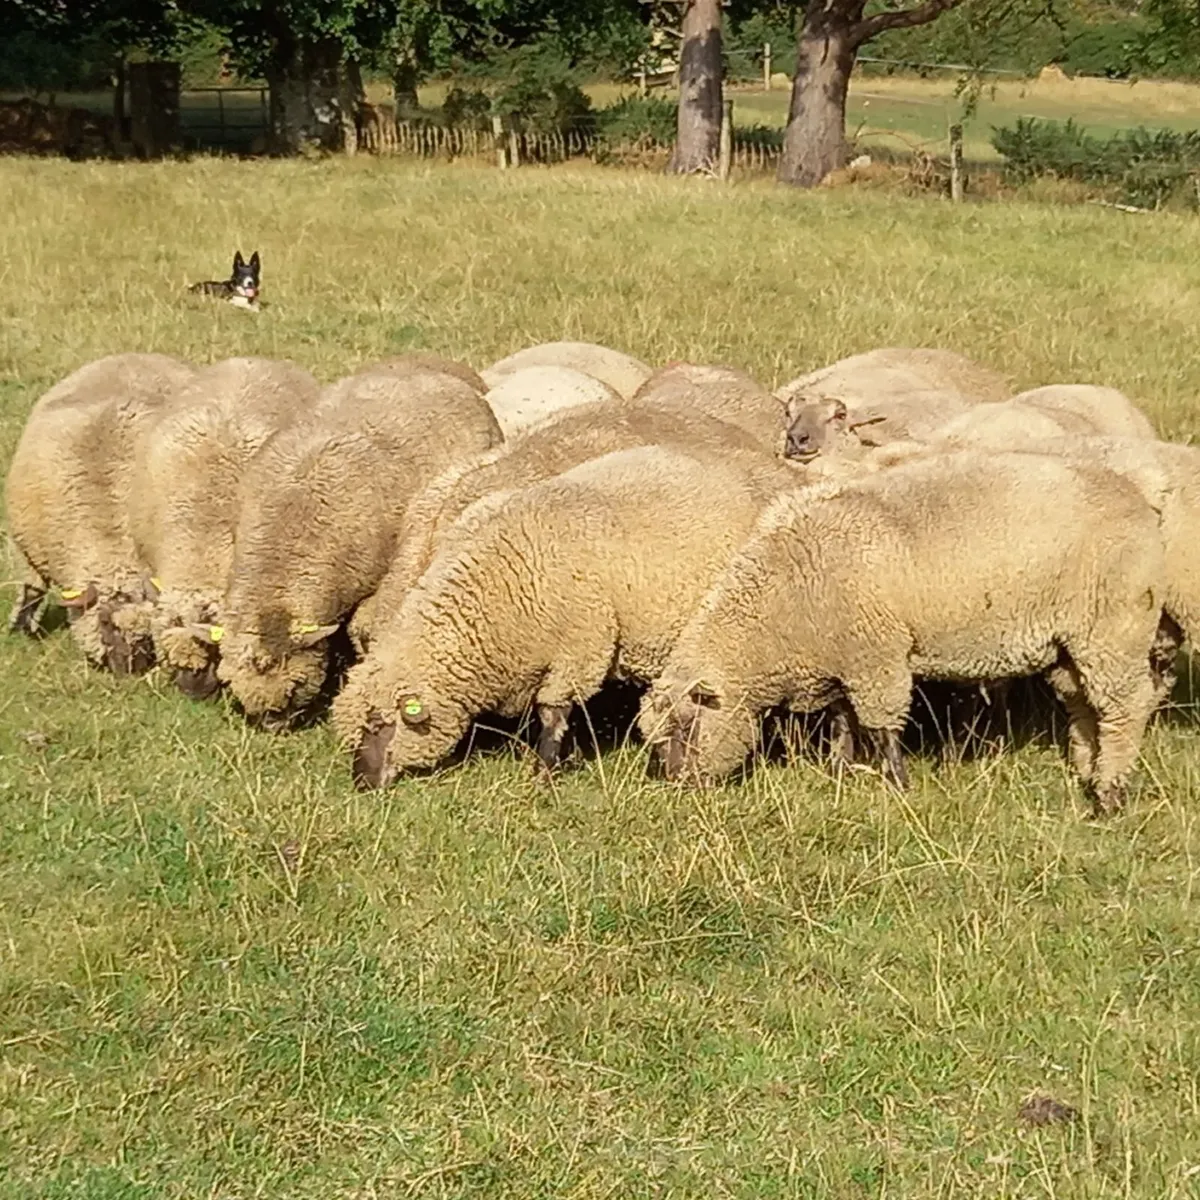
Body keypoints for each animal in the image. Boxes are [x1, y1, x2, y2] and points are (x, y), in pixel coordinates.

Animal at [5, 352, 196, 673]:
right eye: (106, 622)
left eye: (147, 631)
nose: (129, 670)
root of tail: (134, 354)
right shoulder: (30, 551)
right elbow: (31, 591)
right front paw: (20, 630)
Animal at [639, 449, 1167, 815]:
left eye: (686, 726)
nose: (680, 787)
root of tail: (1141, 502)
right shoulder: (846, 656)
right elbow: (843, 719)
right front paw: (841, 771)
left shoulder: (877, 653)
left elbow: (882, 723)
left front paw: (896, 783)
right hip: (1070, 643)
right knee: (1084, 705)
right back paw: (1087, 770)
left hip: (1113, 628)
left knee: (1125, 706)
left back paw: (1110, 793)